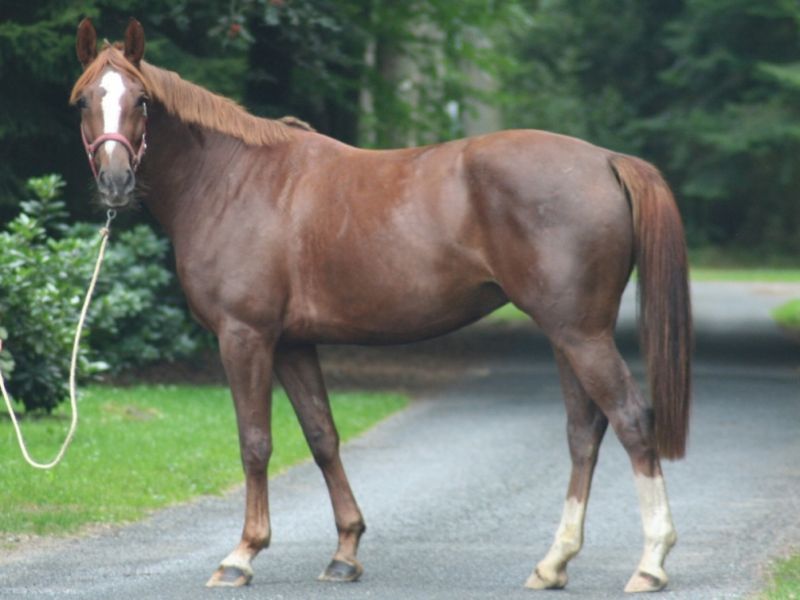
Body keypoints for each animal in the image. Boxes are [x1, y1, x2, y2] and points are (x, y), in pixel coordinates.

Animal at [72, 19, 692, 596]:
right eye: (84, 100)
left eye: (141, 99)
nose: (115, 182)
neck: (233, 181)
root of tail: (607, 160)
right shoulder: (293, 343)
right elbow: (322, 436)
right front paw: (345, 553)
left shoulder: (244, 337)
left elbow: (255, 443)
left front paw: (242, 556)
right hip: (567, 333)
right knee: (584, 431)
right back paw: (553, 563)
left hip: (582, 334)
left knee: (632, 419)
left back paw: (651, 563)